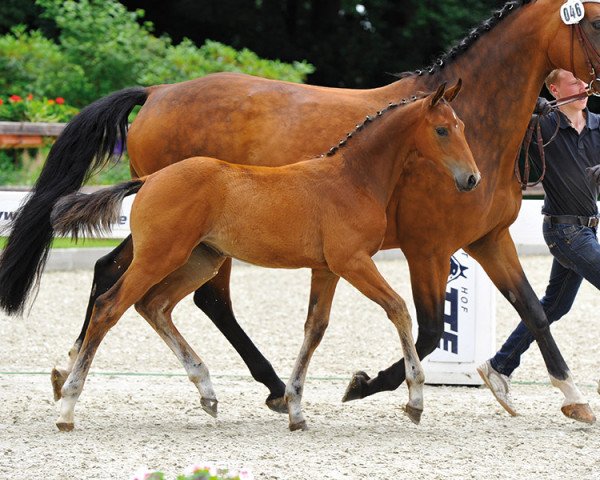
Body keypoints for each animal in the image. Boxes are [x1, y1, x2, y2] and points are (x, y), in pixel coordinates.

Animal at [50, 82, 478, 432]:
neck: (352, 179)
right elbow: (398, 309)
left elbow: (314, 329)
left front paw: (296, 409)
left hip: (200, 260)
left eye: (461, 126)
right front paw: (415, 400)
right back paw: (68, 406)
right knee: (110, 307)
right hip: (159, 257)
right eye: (441, 130)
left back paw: (206, 391)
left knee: (153, 306)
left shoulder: (326, 270)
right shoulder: (352, 262)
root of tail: (150, 179)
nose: (471, 178)